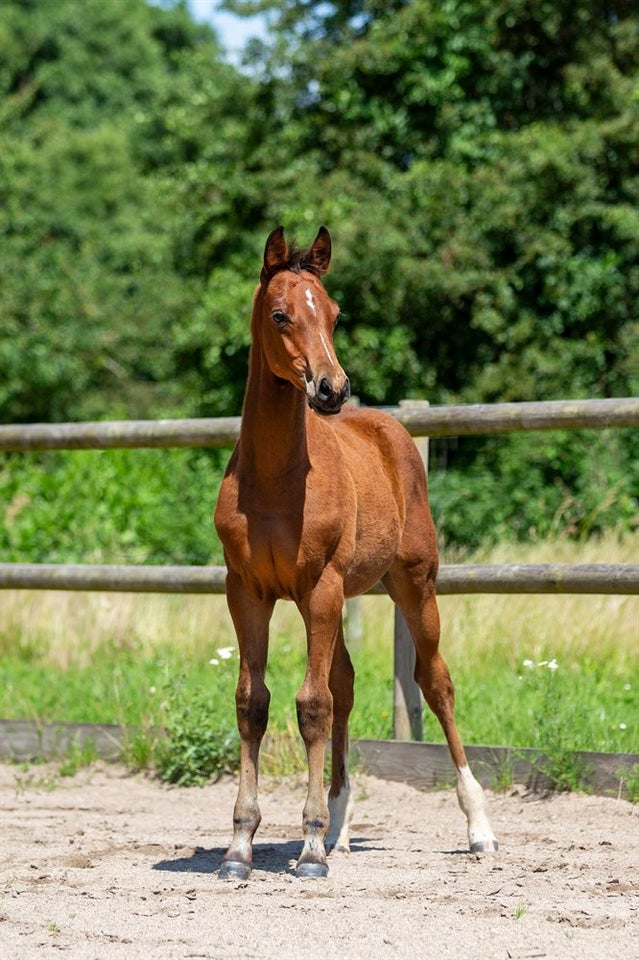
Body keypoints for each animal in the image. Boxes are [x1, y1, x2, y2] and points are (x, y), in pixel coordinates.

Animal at [212, 225, 498, 876]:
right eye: (280, 313)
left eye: (336, 313)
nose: (332, 387)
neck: (275, 478)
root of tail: (390, 429)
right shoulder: (247, 592)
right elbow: (254, 703)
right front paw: (240, 846)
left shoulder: (319, 586)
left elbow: (311, 704)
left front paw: (311, 848)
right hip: (336, 597)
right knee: (344, 683)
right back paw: (343, 826)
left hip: (414, 584)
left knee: (435, 682)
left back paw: (478, 828)